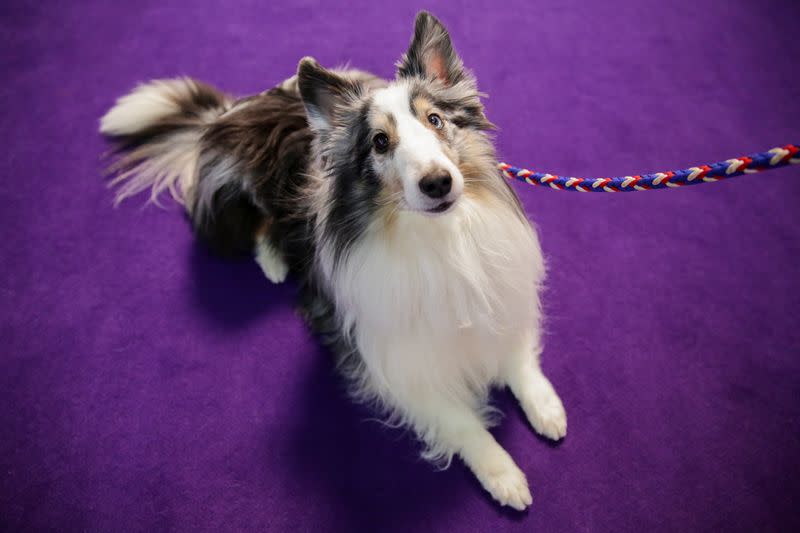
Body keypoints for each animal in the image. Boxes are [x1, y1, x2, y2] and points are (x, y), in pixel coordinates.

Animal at [101, 11, 564, 512]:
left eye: (436, 119)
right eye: (379, 142)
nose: (438, 183)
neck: (438, 237)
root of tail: (233, 109)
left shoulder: (502, 296)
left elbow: (517, 356)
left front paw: (547, 409)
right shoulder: (391, 360)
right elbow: (459, 420)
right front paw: (504, 476)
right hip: (249, 187)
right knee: (261, 225)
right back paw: (274, 262)